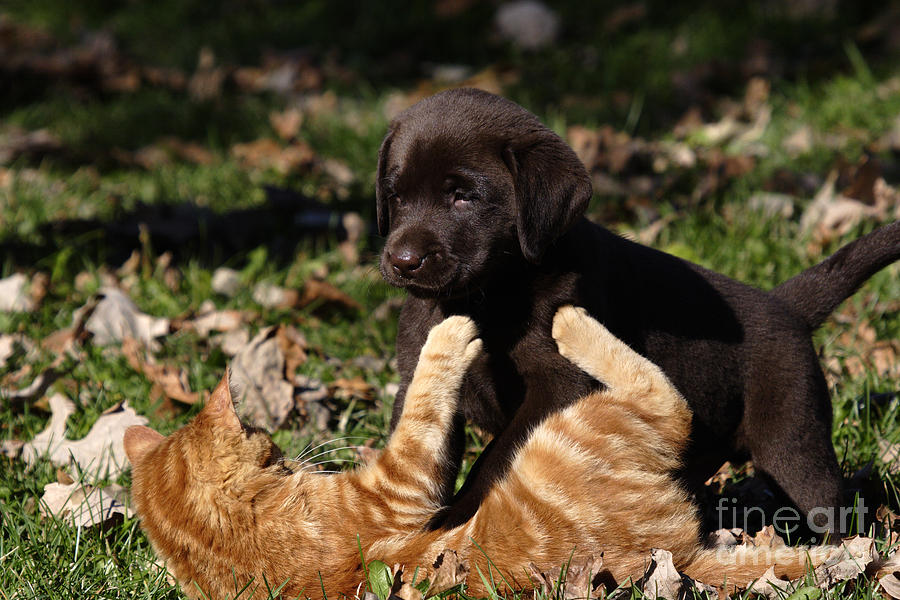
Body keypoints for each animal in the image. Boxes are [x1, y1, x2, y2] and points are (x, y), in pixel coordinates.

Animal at [126, 308, 828, 596]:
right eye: (272, 450)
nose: (295, 457)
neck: (225, 547)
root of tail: (675, 556)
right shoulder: (400, 482)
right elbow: (423, 407)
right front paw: (449, 335)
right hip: (576, 425)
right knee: (663, 396)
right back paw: (571, 323)